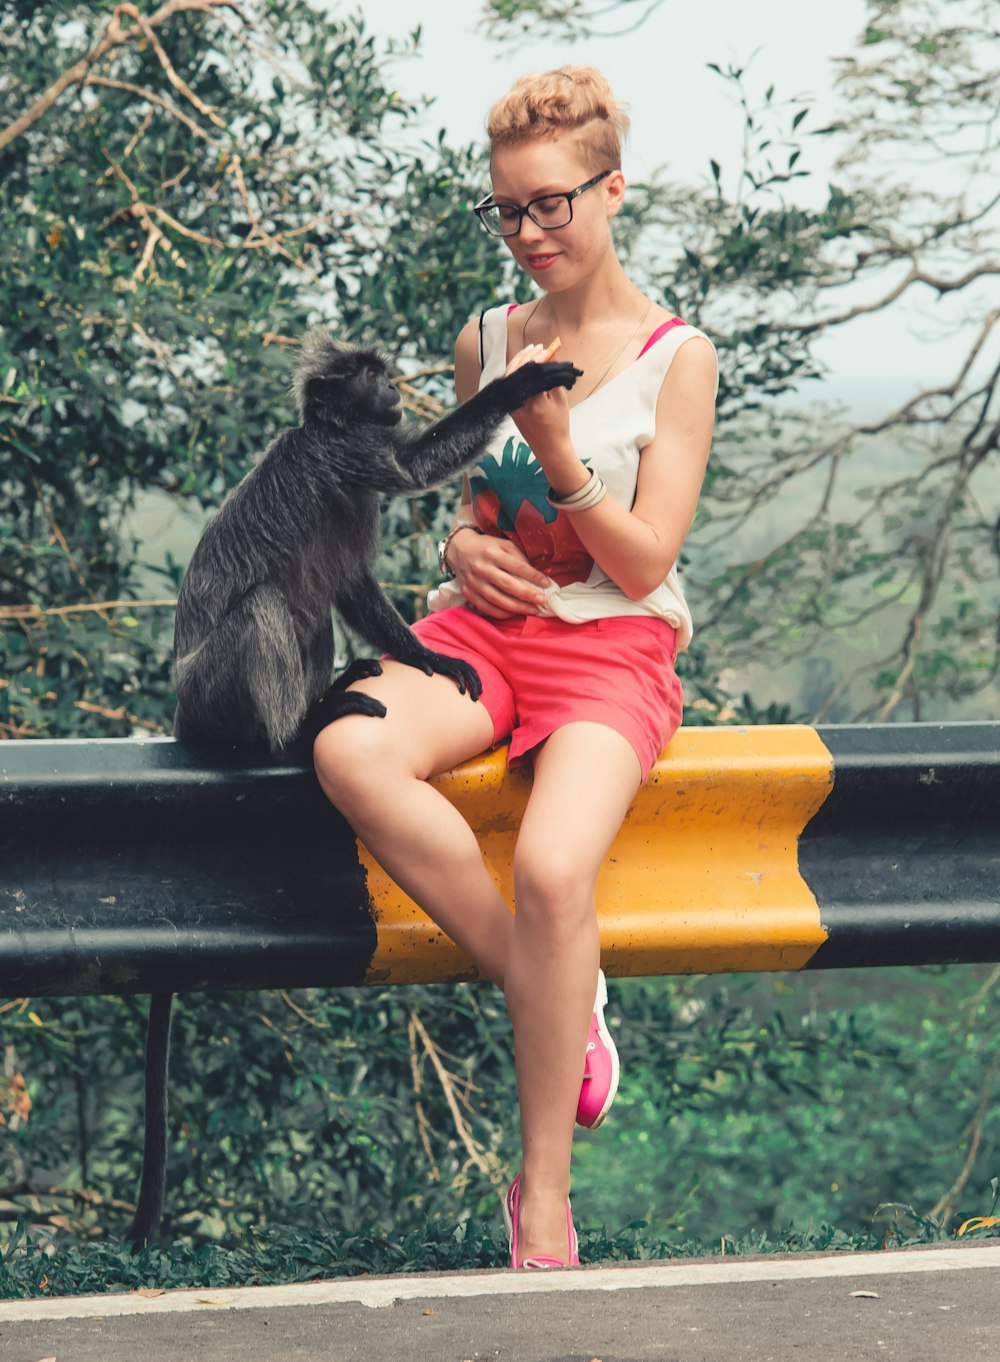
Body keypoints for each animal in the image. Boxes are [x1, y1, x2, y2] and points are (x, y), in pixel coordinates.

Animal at [170, 329, 580, 757]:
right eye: (371, 377)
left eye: (382, 374)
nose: (392, 386)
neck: (329, 429)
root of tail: (184, 712)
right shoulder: (347, 450)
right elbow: (415, 467)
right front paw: (517, 384)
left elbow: (351, 582)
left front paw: (425, 655)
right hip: (209, 691)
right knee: (260, 604)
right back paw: (298, 729)